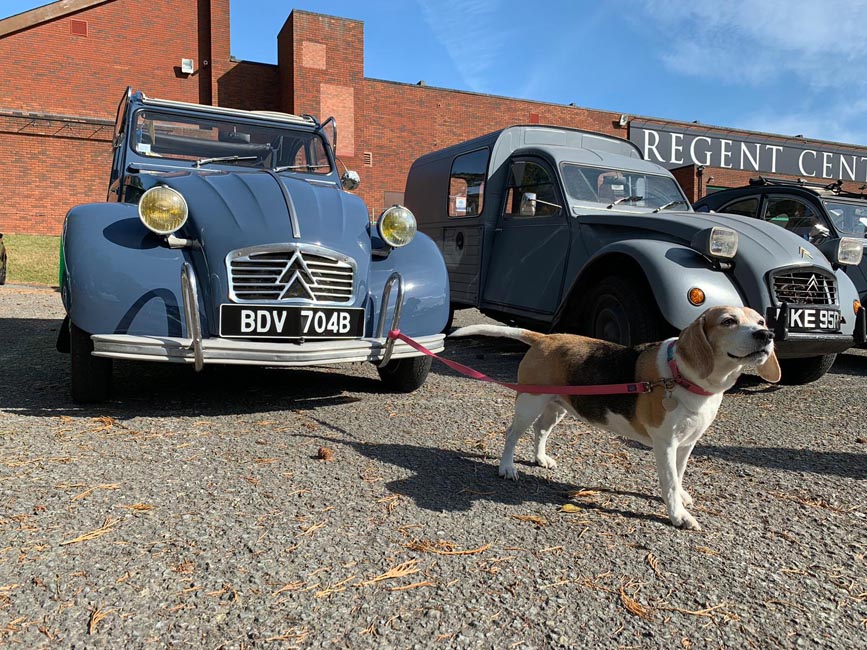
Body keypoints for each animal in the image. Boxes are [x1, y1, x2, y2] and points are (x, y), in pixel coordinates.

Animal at [450, 306, 784, 528]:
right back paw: (506, 467)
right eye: (728, 321)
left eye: (761, 321)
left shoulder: (687, 444)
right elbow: (669, 482)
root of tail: (545, 338)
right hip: (529, 404)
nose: (766, 334)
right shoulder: (665, 445)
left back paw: (541, 459)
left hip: (556, 405)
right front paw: (678, 515)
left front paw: (682, 498)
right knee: (511, 434)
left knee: (541, 431)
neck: (682, 375)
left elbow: (678, 477)